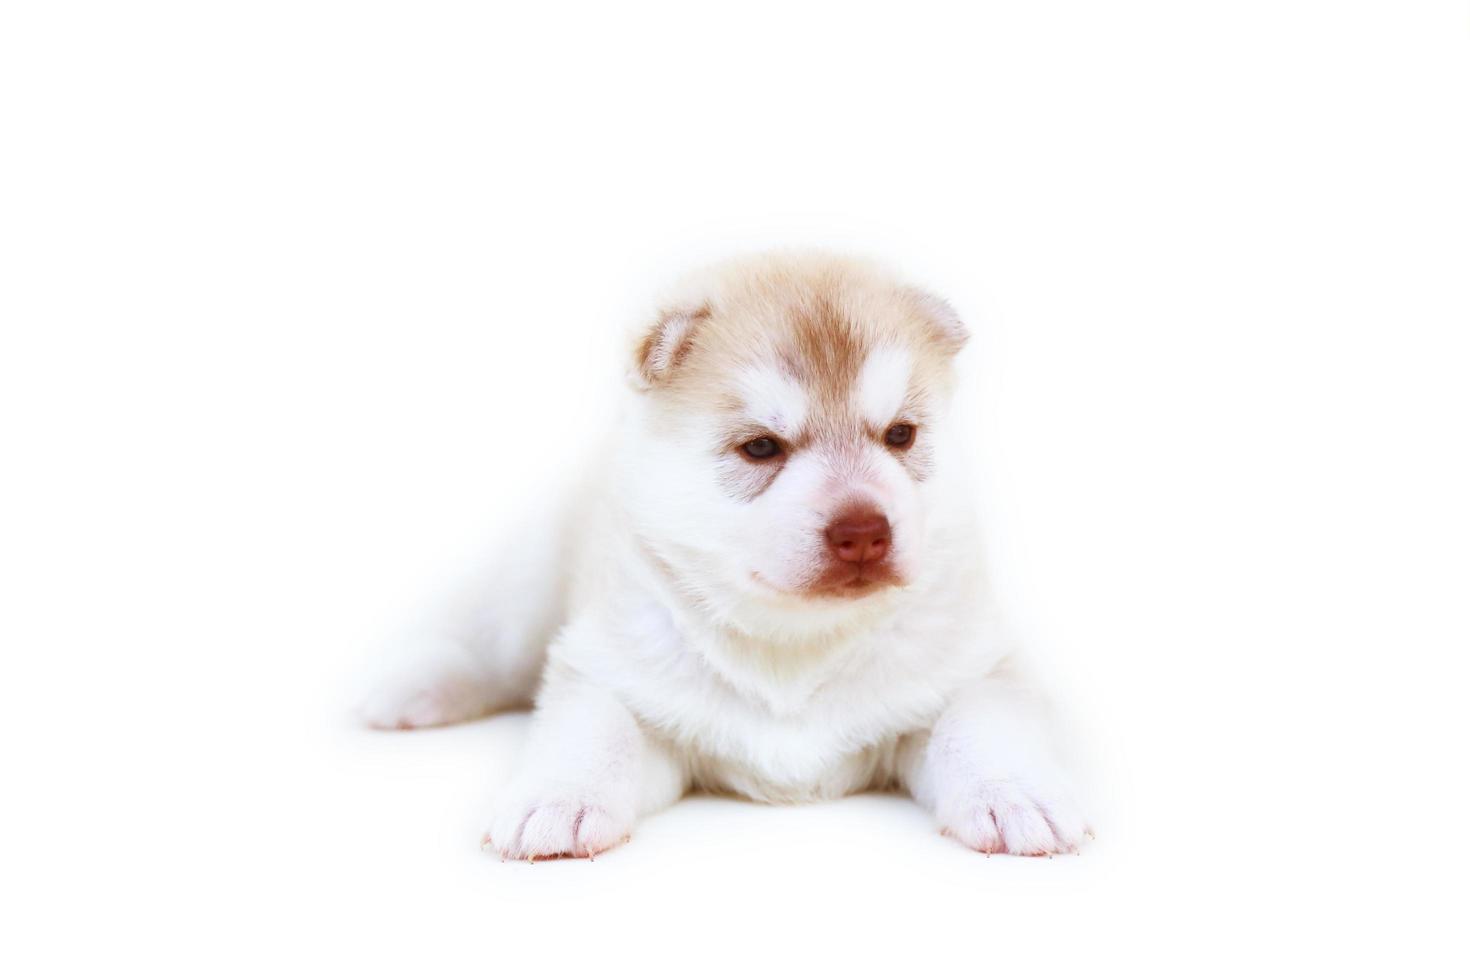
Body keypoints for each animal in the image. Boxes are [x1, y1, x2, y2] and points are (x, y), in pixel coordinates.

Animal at [361, 252, 1087, 858]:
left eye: (901, 435)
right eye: (761, 447)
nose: (865, 531)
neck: (795, 646)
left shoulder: (977, 669)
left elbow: (983, 723)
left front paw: (1017, 794)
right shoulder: (613, 676)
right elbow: (592, 730)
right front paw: (558, 799)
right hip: (528, 585)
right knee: (487, 647)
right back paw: (409, 690)